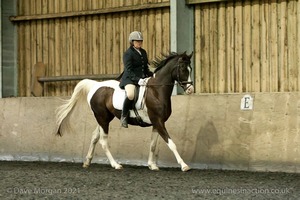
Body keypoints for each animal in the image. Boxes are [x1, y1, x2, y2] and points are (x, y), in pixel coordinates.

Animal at [55, 50, 195, 171]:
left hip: (104, 118)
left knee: (95, 136)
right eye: (183, 68)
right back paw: (116, 165)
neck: (156, 91)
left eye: (191, 69)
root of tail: (96, 85)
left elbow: (153, 145)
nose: (190, 89)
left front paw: (152, 165)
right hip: (102, 118)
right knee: (103, 141)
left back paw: (87, 161)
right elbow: (171, 144)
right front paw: (184, 166)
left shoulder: (157, 123)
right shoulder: (158, 121)